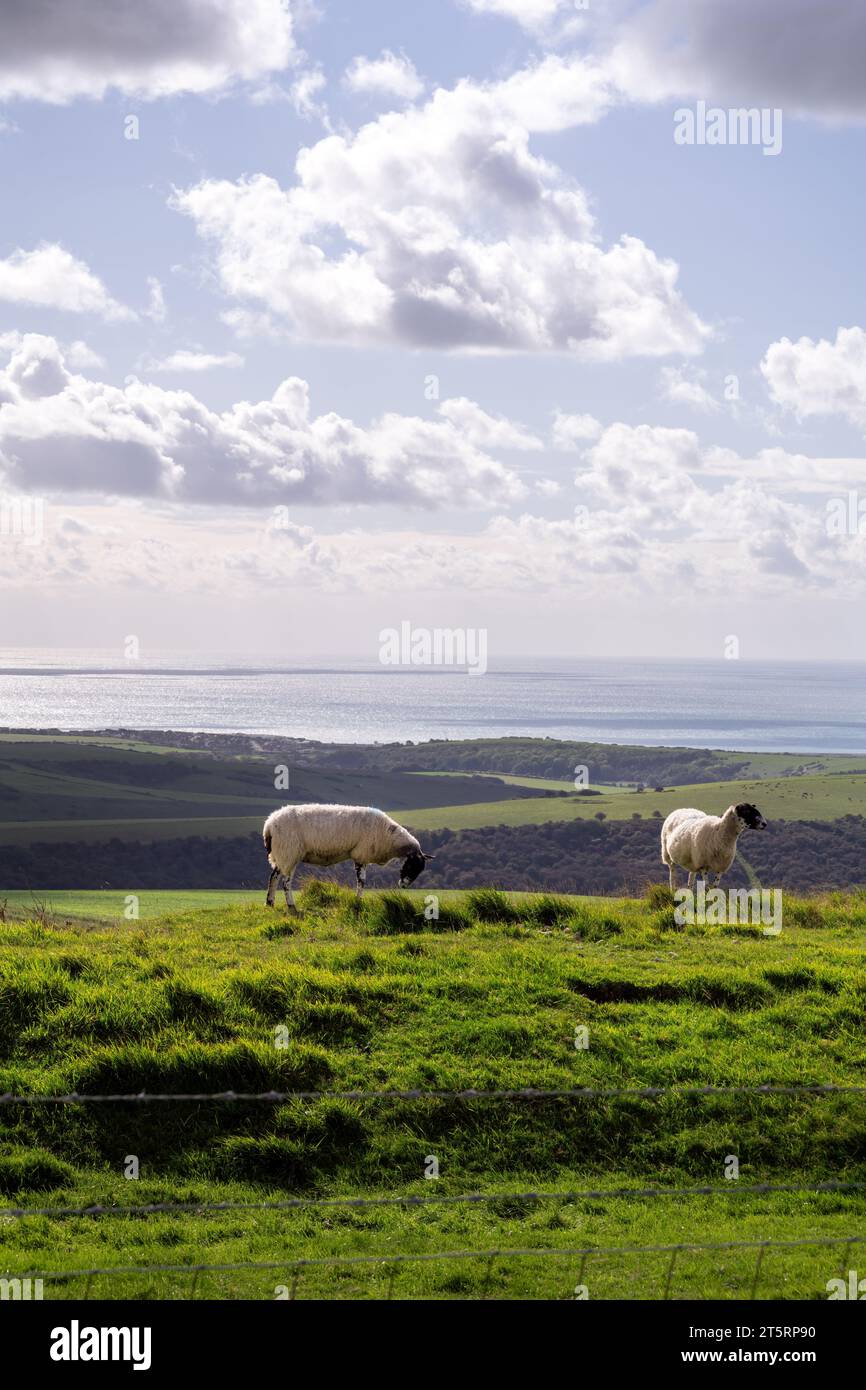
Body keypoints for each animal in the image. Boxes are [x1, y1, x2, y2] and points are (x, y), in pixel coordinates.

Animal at [257, 806, 433, 911]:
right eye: (411, 865)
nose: (404, 885)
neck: (389, 836)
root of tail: (269, 824)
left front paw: (358, 900)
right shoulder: (361, 855)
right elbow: (361, 881)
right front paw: (358, 901)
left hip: (283, 854)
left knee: (274, 877)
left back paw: (270, 903)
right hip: (289, 851)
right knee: (286, 882)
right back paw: (291, 905)